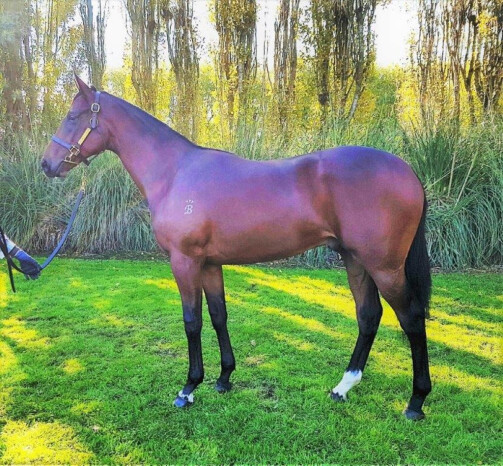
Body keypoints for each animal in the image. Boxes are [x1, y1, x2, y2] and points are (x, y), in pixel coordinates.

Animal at [41, 75, 432, 420]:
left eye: (73, 116)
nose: (47, 165)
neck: (174, 173)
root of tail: (408, 171)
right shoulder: (210, 264)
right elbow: (218, 316)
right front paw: (224, 378)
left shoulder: (184, 261)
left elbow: (192, 321)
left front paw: (188, 388)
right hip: (355, 260)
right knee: (368, 315)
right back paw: (343, 387)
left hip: (384, 267)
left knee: (411, 318)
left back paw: (416, 402)